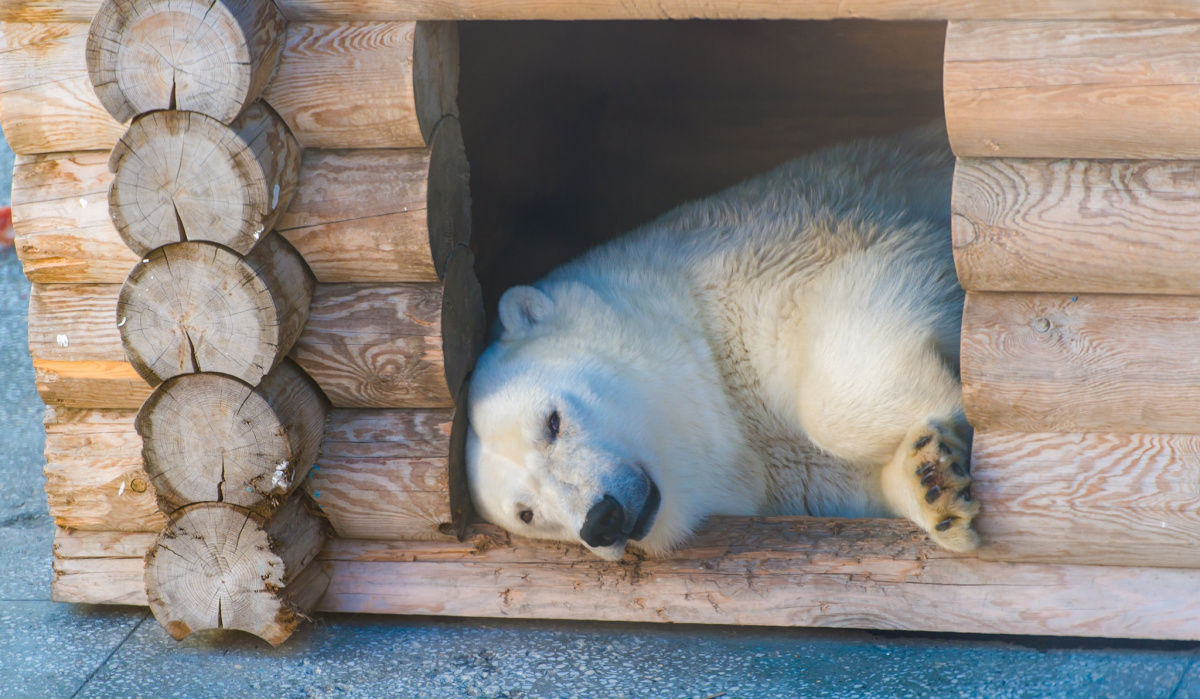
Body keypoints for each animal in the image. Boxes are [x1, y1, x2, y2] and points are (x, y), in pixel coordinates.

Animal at [466, 123, 977, 561]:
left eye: (552, 422)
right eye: (526, 513)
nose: (601, 520)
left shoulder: (786, 261)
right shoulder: (795, 477)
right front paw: (934, 482)